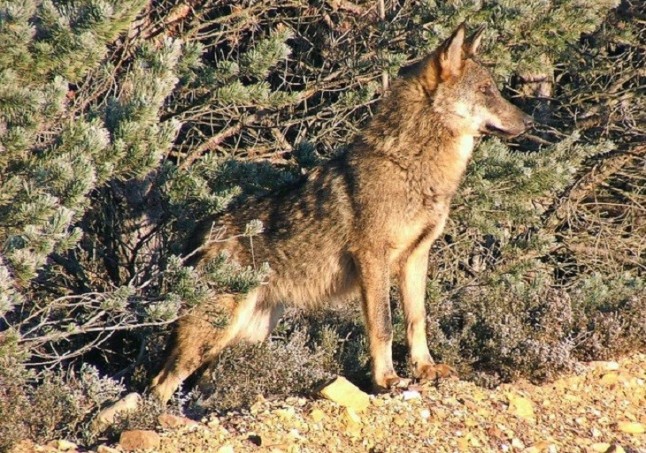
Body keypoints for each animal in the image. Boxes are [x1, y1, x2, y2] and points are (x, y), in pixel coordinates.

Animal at [150, 23, 533, 403]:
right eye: (486, 90)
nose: (528, 121)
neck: (410, 166)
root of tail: (198, 233)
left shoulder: (416, 257)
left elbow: (417, 319)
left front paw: (425, 368)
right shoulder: (372, 257)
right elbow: (383, 325)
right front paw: (387, 380)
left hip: (245, 337)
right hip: (213, 335)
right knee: (159, 384)